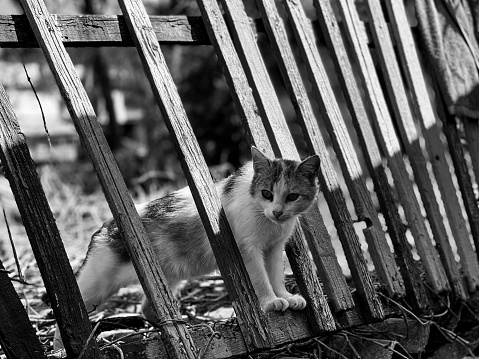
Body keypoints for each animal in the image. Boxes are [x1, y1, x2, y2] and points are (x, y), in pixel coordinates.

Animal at [54, 146, 320, 348]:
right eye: (266, 194)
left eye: (292, 197)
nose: (277, 212)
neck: (267, 221)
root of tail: (107, 226)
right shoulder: (249, 250)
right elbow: (261, 279)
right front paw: (270, 302)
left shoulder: (274, 248)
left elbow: (275, 275)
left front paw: (286, 297)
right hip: (98, 283)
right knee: (70, 315)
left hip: (166, 279)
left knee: (147, 308)